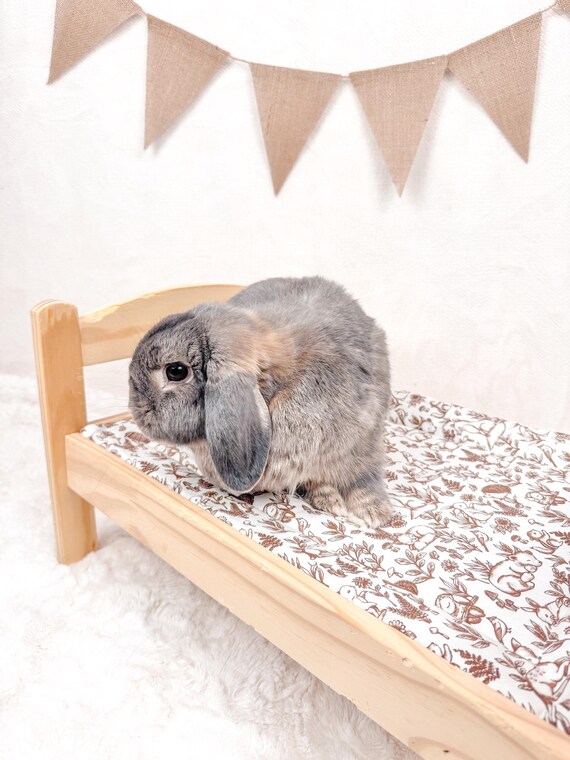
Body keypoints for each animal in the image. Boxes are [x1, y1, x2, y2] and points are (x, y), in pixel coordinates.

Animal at [128, 276, 392, 528]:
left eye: (175, 371)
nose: (136, 411)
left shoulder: (361, 445)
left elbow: (363, 482)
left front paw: (376, 514)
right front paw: (328, 499)